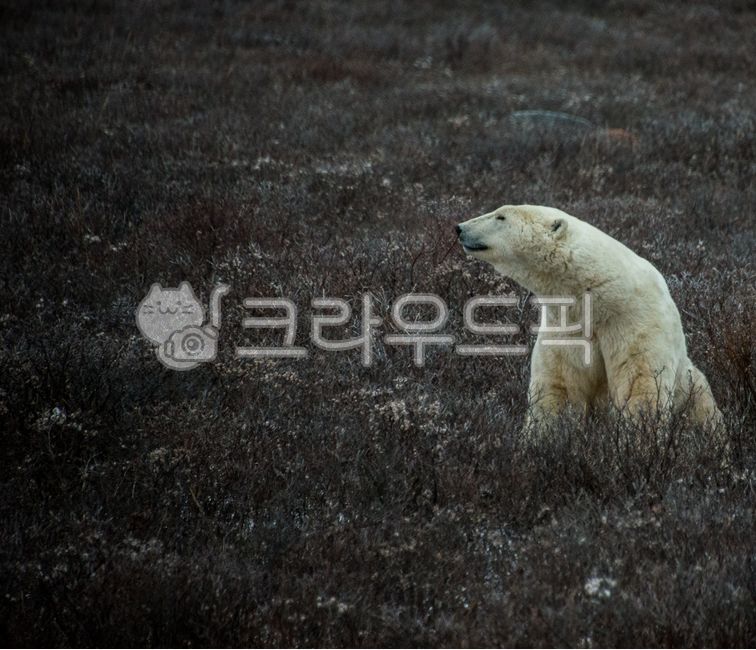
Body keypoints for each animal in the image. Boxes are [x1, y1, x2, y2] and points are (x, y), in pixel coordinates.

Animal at [456, 204, 723, 433]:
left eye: (500, 216)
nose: (460, 227)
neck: (596, 294)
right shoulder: (566, 324)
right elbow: (560, 385)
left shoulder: (633, 318)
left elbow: (638, 381)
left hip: (693, 391)